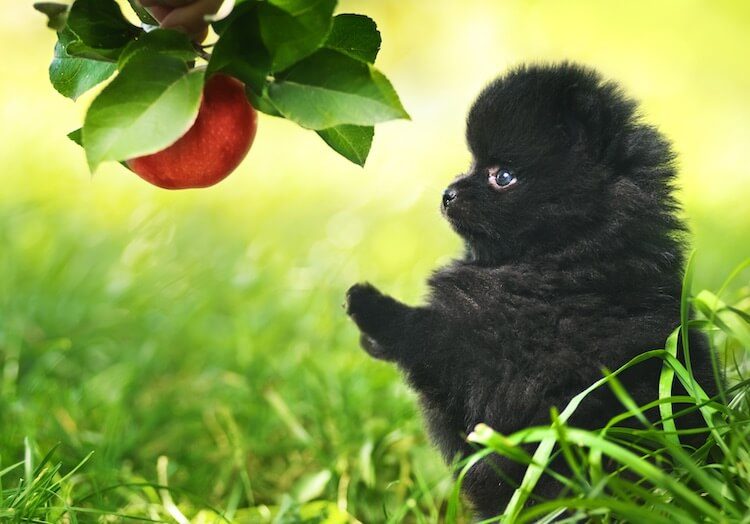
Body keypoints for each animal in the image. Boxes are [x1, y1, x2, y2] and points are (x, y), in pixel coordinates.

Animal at [346, 63, 716, 516]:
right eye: (471, 163)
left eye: (503, 176)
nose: (448, 193)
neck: (563, 257)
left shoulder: (491, 350)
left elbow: (427, 335)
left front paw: (370, 305)